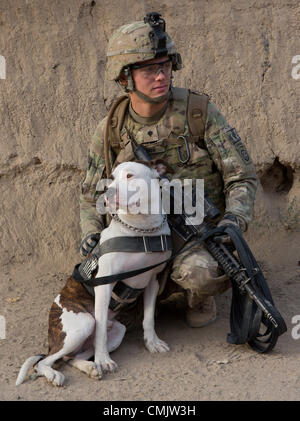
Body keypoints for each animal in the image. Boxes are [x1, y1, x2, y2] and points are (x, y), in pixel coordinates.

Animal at [15, 160, 171, 384]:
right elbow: (101, 330)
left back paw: (89, 367)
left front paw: (152, 342)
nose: (108, 191)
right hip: (83, 324)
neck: (141, 230)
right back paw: (56, 373)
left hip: (118, 330)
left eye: (130, 176)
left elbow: (149, 318)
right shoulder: (105, 285)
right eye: (111, 177)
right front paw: (104, 360)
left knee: (71, 358)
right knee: (44, 360)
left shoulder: (152, 280)